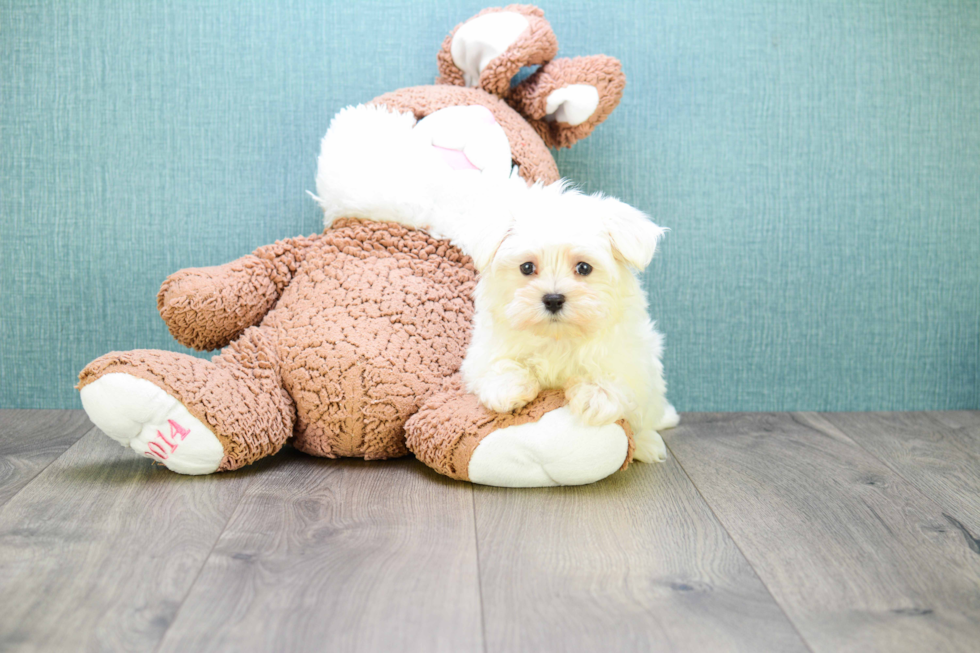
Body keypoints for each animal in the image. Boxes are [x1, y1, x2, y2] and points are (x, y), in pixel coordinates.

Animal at [462, 181, 676, 460]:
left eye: (584, 268)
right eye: (527, 267)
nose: (553, 299)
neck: (558, 337)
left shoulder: (631, 358)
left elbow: (614, 375)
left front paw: (595, 396)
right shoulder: (484, 352)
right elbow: (500, 364)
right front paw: (507, 388)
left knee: (645, 420)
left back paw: (647, 444)